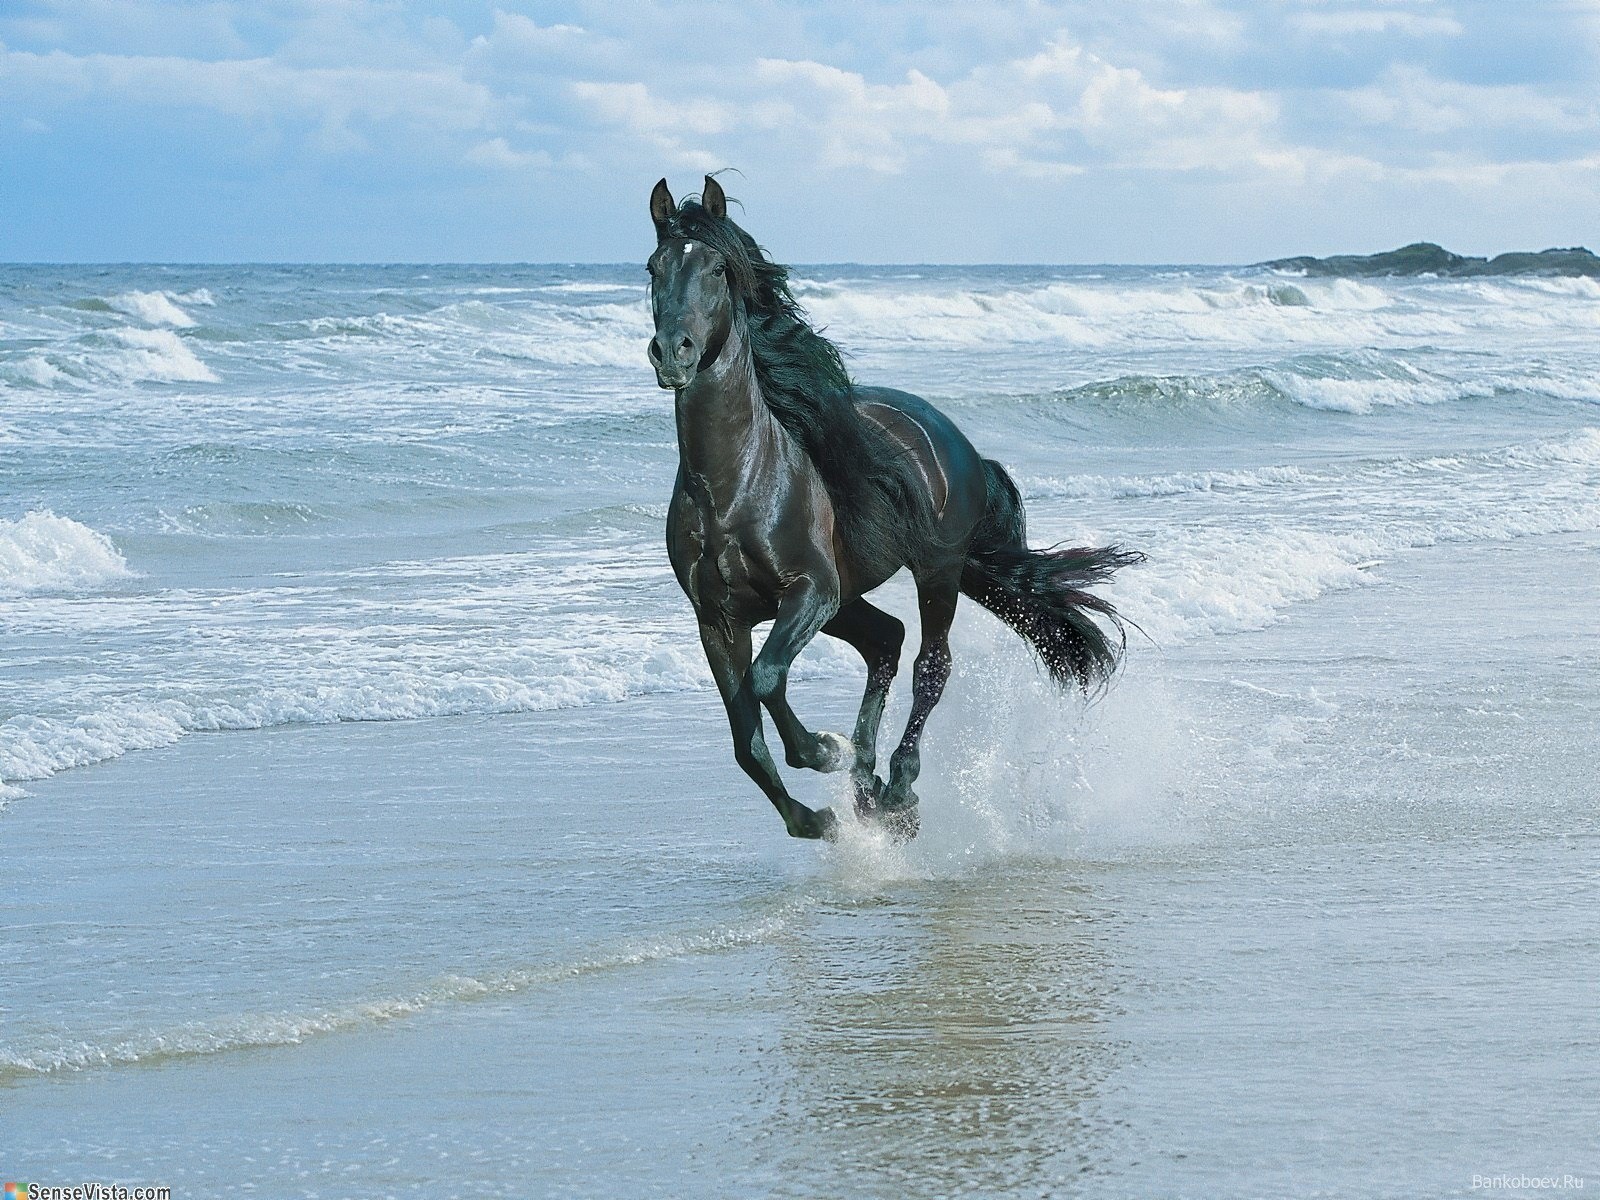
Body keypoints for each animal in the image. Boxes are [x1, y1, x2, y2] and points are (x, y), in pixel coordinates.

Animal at [643, 176, 1145, 844]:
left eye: (718, 269)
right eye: (654, 267)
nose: (673, 352)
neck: (735, 486)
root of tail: (953, 437)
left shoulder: (810, 590)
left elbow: (768, 679)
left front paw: (824, 750)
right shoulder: (718, 619)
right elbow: (745, 739)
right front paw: (818, 816)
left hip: (934, 572)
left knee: (931, 664)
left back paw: (898, 789)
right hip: (850, 598)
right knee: (886, 640)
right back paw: (867, 787)